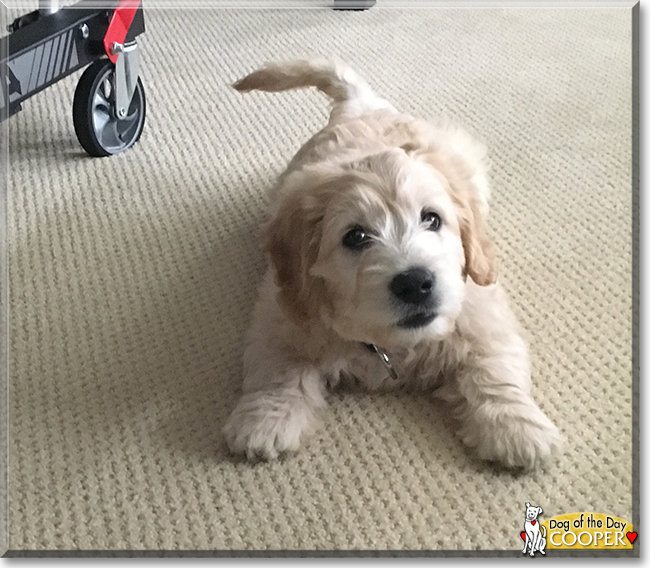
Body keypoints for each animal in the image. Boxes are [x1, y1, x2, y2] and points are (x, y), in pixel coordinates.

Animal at [221, 57, 556, 468]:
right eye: (355, 237)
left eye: (432, 219)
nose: (415, 283)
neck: (390, 342)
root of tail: (361, 104)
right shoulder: (281, 313)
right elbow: (278, 367)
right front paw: (265, 420)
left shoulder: (481, 309)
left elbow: (494, 368)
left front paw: (516, 428)